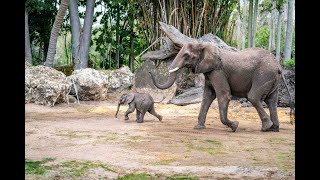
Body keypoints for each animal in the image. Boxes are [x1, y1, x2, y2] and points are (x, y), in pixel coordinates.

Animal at [149, 42, 282, 132]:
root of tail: (278, 66)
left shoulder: (218, 71)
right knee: (272, 101)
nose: (151, 71)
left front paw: (235, 126)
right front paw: (198, 127)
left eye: (186, 55)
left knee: (254, 97)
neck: (202, 45)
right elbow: (207, 97)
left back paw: (266, 128)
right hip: (272, 79)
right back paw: (274, 129)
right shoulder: (209, 72)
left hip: (263, 75)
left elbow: (223, 95)